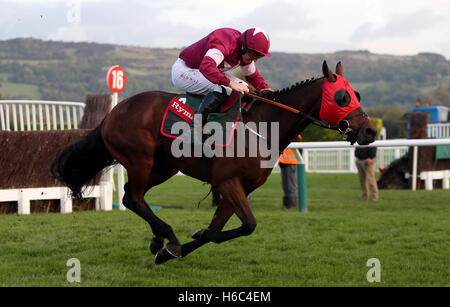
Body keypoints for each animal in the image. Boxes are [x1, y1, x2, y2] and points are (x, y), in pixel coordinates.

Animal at [51, 60, 376, 264]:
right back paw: (166, 234)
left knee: (133, 196)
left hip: (164, 167)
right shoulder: (227, 182)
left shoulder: (240, 189)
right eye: (343, 97)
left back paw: (159, 240)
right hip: (140, 160)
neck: (262, 126)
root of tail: (113, 113)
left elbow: (219, 229)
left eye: (356, 94)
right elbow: (247, 225)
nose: (370, 131)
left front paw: (174, 249)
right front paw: (180, 242)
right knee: (134, 198)